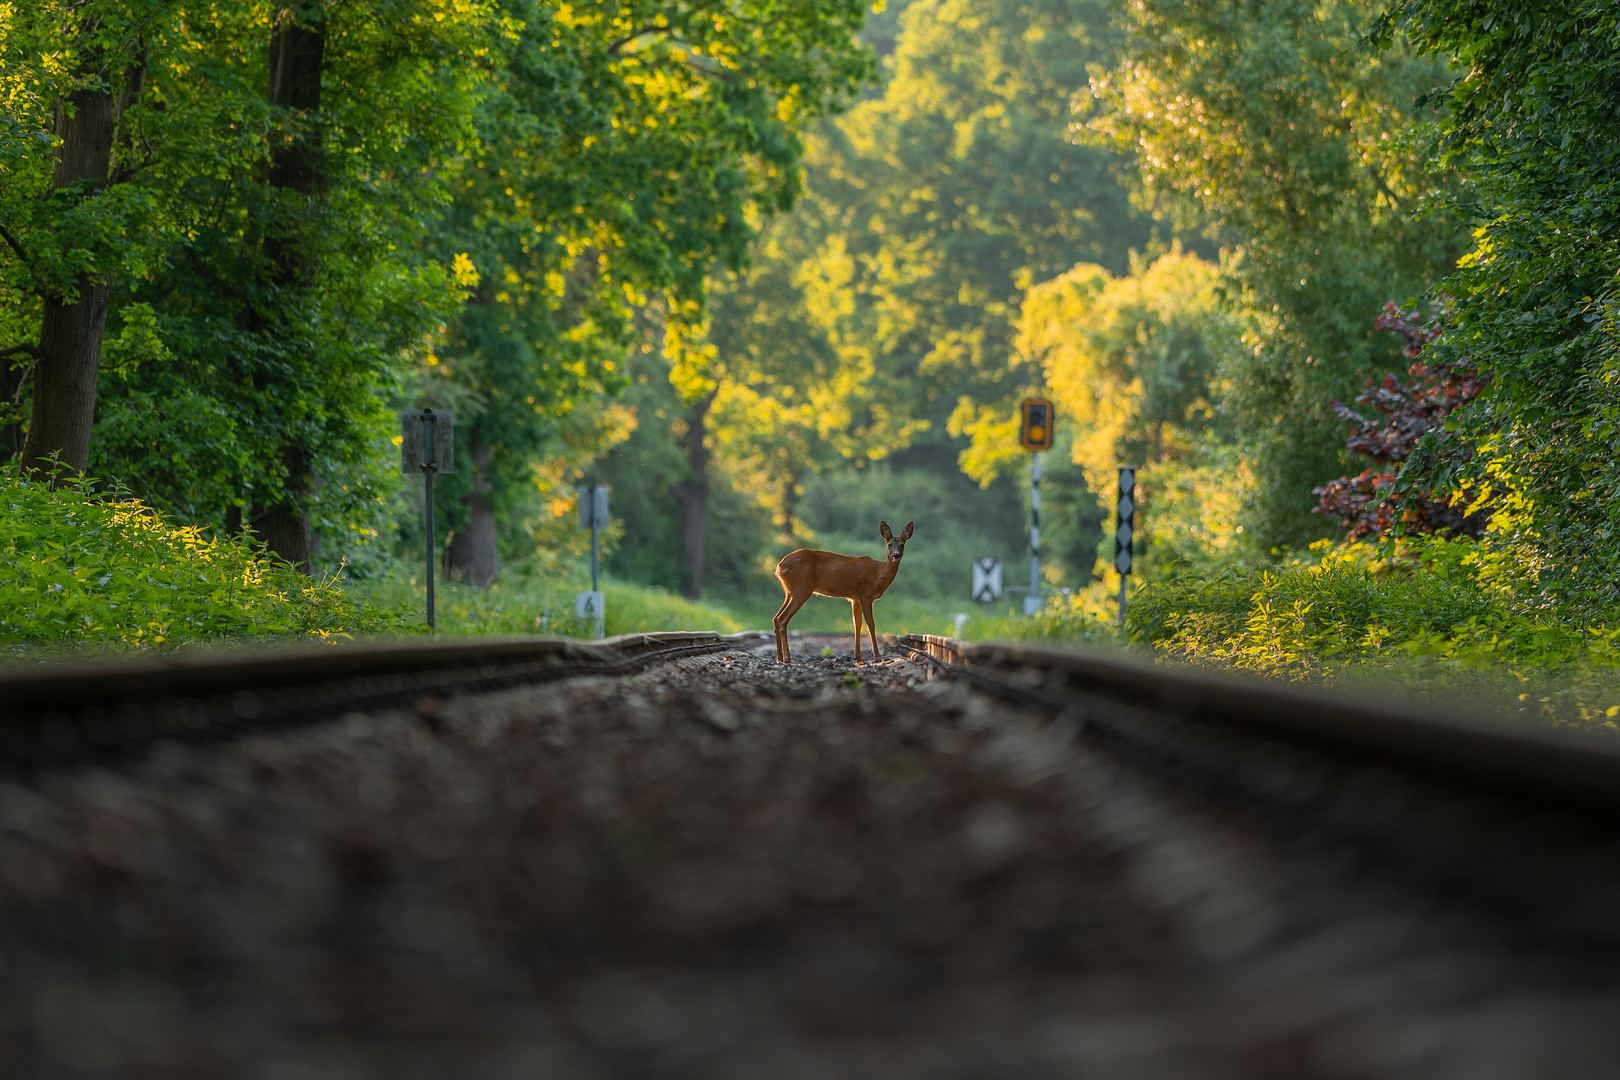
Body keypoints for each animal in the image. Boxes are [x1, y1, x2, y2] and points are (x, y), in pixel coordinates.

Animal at [771, 518, 913, 663]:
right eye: (889, 545)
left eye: (902, 544)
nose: (896, 555)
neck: (879, 574)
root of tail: (779, 567)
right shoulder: (866, 595)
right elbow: (870, 624)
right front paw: (877, 657)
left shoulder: (855, 598)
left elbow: (857, 624)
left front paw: (858, 657)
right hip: (802, 589)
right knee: (782, 619)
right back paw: (787, 658)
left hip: (789, 592)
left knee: (775, 618)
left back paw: (779, 657)